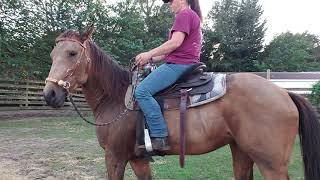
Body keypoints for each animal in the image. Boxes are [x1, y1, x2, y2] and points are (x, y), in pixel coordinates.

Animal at [42, 27, 320, 180]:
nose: (50, 94)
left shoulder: (115, 157)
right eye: (52, 54)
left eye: (72, 53)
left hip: (271, 164)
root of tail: (285, 94)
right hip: (242, 152)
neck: (115, 98)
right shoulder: (138, 159)